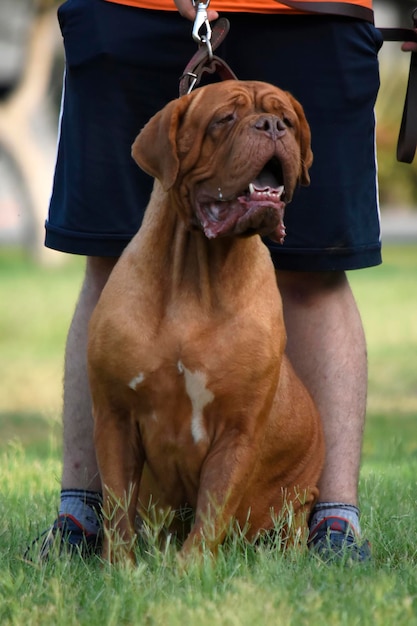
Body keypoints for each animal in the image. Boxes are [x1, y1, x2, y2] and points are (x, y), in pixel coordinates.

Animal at [87, 80, 322, 564]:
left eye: (288, 120)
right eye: (223, 119)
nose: (272, 126)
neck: (197, 274)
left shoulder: (238, 430)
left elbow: (212, 511)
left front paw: (189, 571)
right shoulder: (115, 417)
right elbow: (118, 509)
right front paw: (122, 570)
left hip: (298, 504)